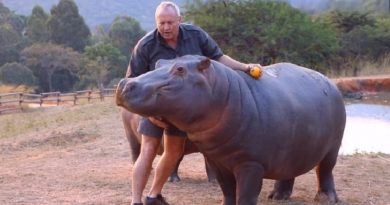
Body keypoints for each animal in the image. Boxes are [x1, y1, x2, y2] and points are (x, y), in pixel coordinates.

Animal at [115, 55, 344, 204]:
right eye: (158, 63)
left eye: (180, 69)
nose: (125, 82)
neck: (224, 92)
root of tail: (329, 82)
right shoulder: (218, 161)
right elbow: (227, 191)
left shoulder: (251, 164)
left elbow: (245, 195)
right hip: (293, 148)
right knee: (288, 171)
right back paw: (278, 197)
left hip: (332, 147)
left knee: (325, 171)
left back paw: (326, 199)